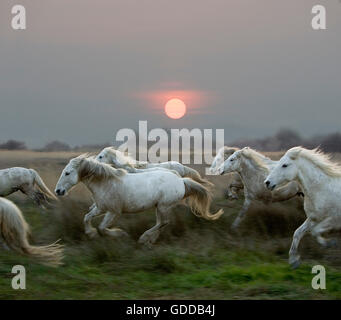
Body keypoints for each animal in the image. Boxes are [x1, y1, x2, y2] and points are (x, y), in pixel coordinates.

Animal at [55, 154, 223, 246]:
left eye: (67, 173)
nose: (58, 191)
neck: (106, 183)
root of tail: (181, 180)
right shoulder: (100, 208)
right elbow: (86, 217)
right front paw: (91, 234)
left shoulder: (114, 212)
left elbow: (102, 228)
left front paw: (121, 234)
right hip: (159, 207)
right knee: (161, 223)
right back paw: (150, 240)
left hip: (163, 206)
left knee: (163, 222)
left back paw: (143, 238)